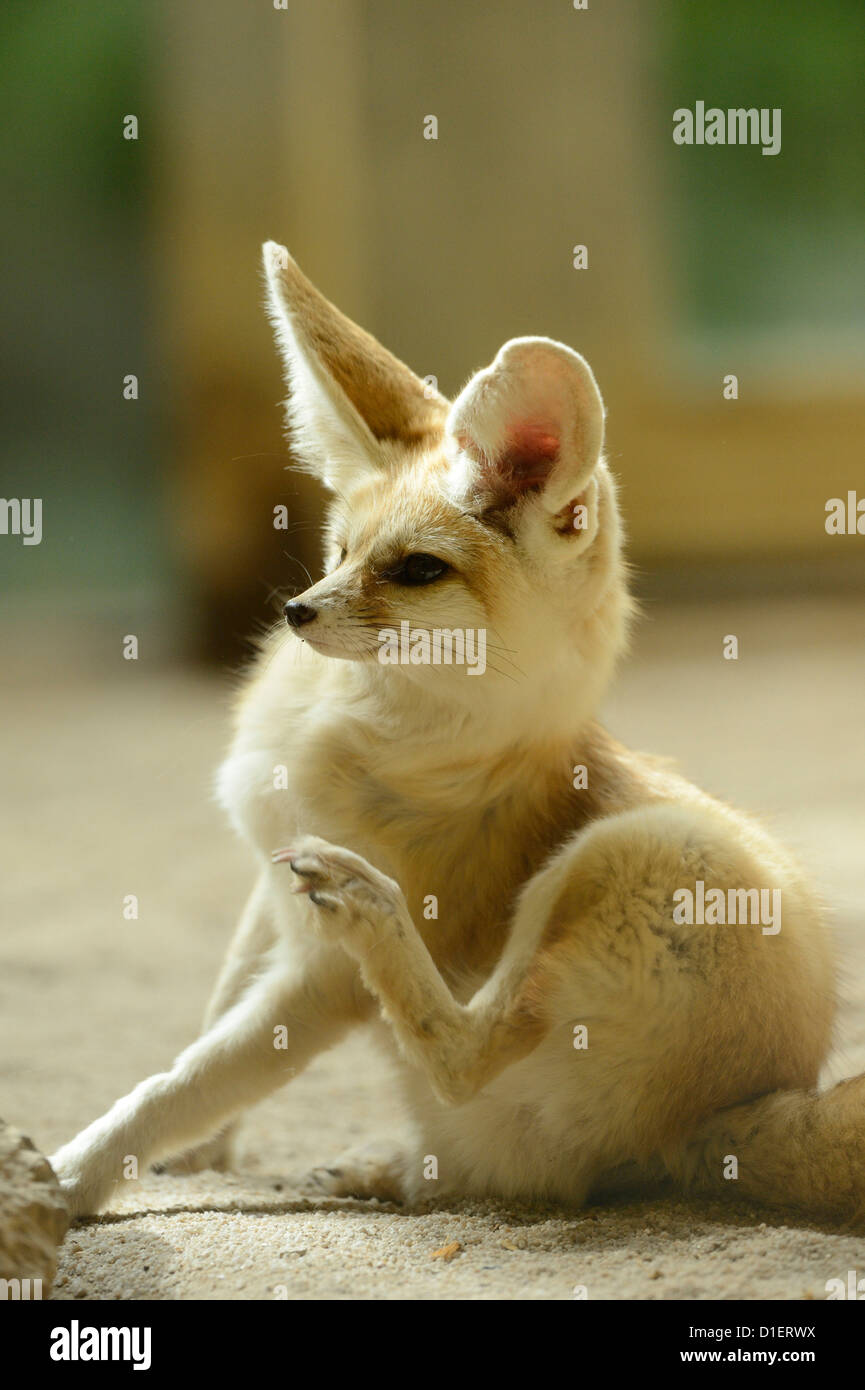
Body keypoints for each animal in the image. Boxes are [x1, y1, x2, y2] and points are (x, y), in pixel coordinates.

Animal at [54, 244, 865, 1223]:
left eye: (415, 571)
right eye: (338, 553)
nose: (296, 612)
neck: (351, 725)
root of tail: (733, 1117)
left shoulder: (318, 976)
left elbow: (176, 1084)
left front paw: (68, 1177)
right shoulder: (268, 877)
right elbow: (210, 1021)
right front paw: (201, 1156)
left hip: (633, 851)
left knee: (462, 1058)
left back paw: (373, 916)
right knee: (472, 1153)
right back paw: (381, 1168)